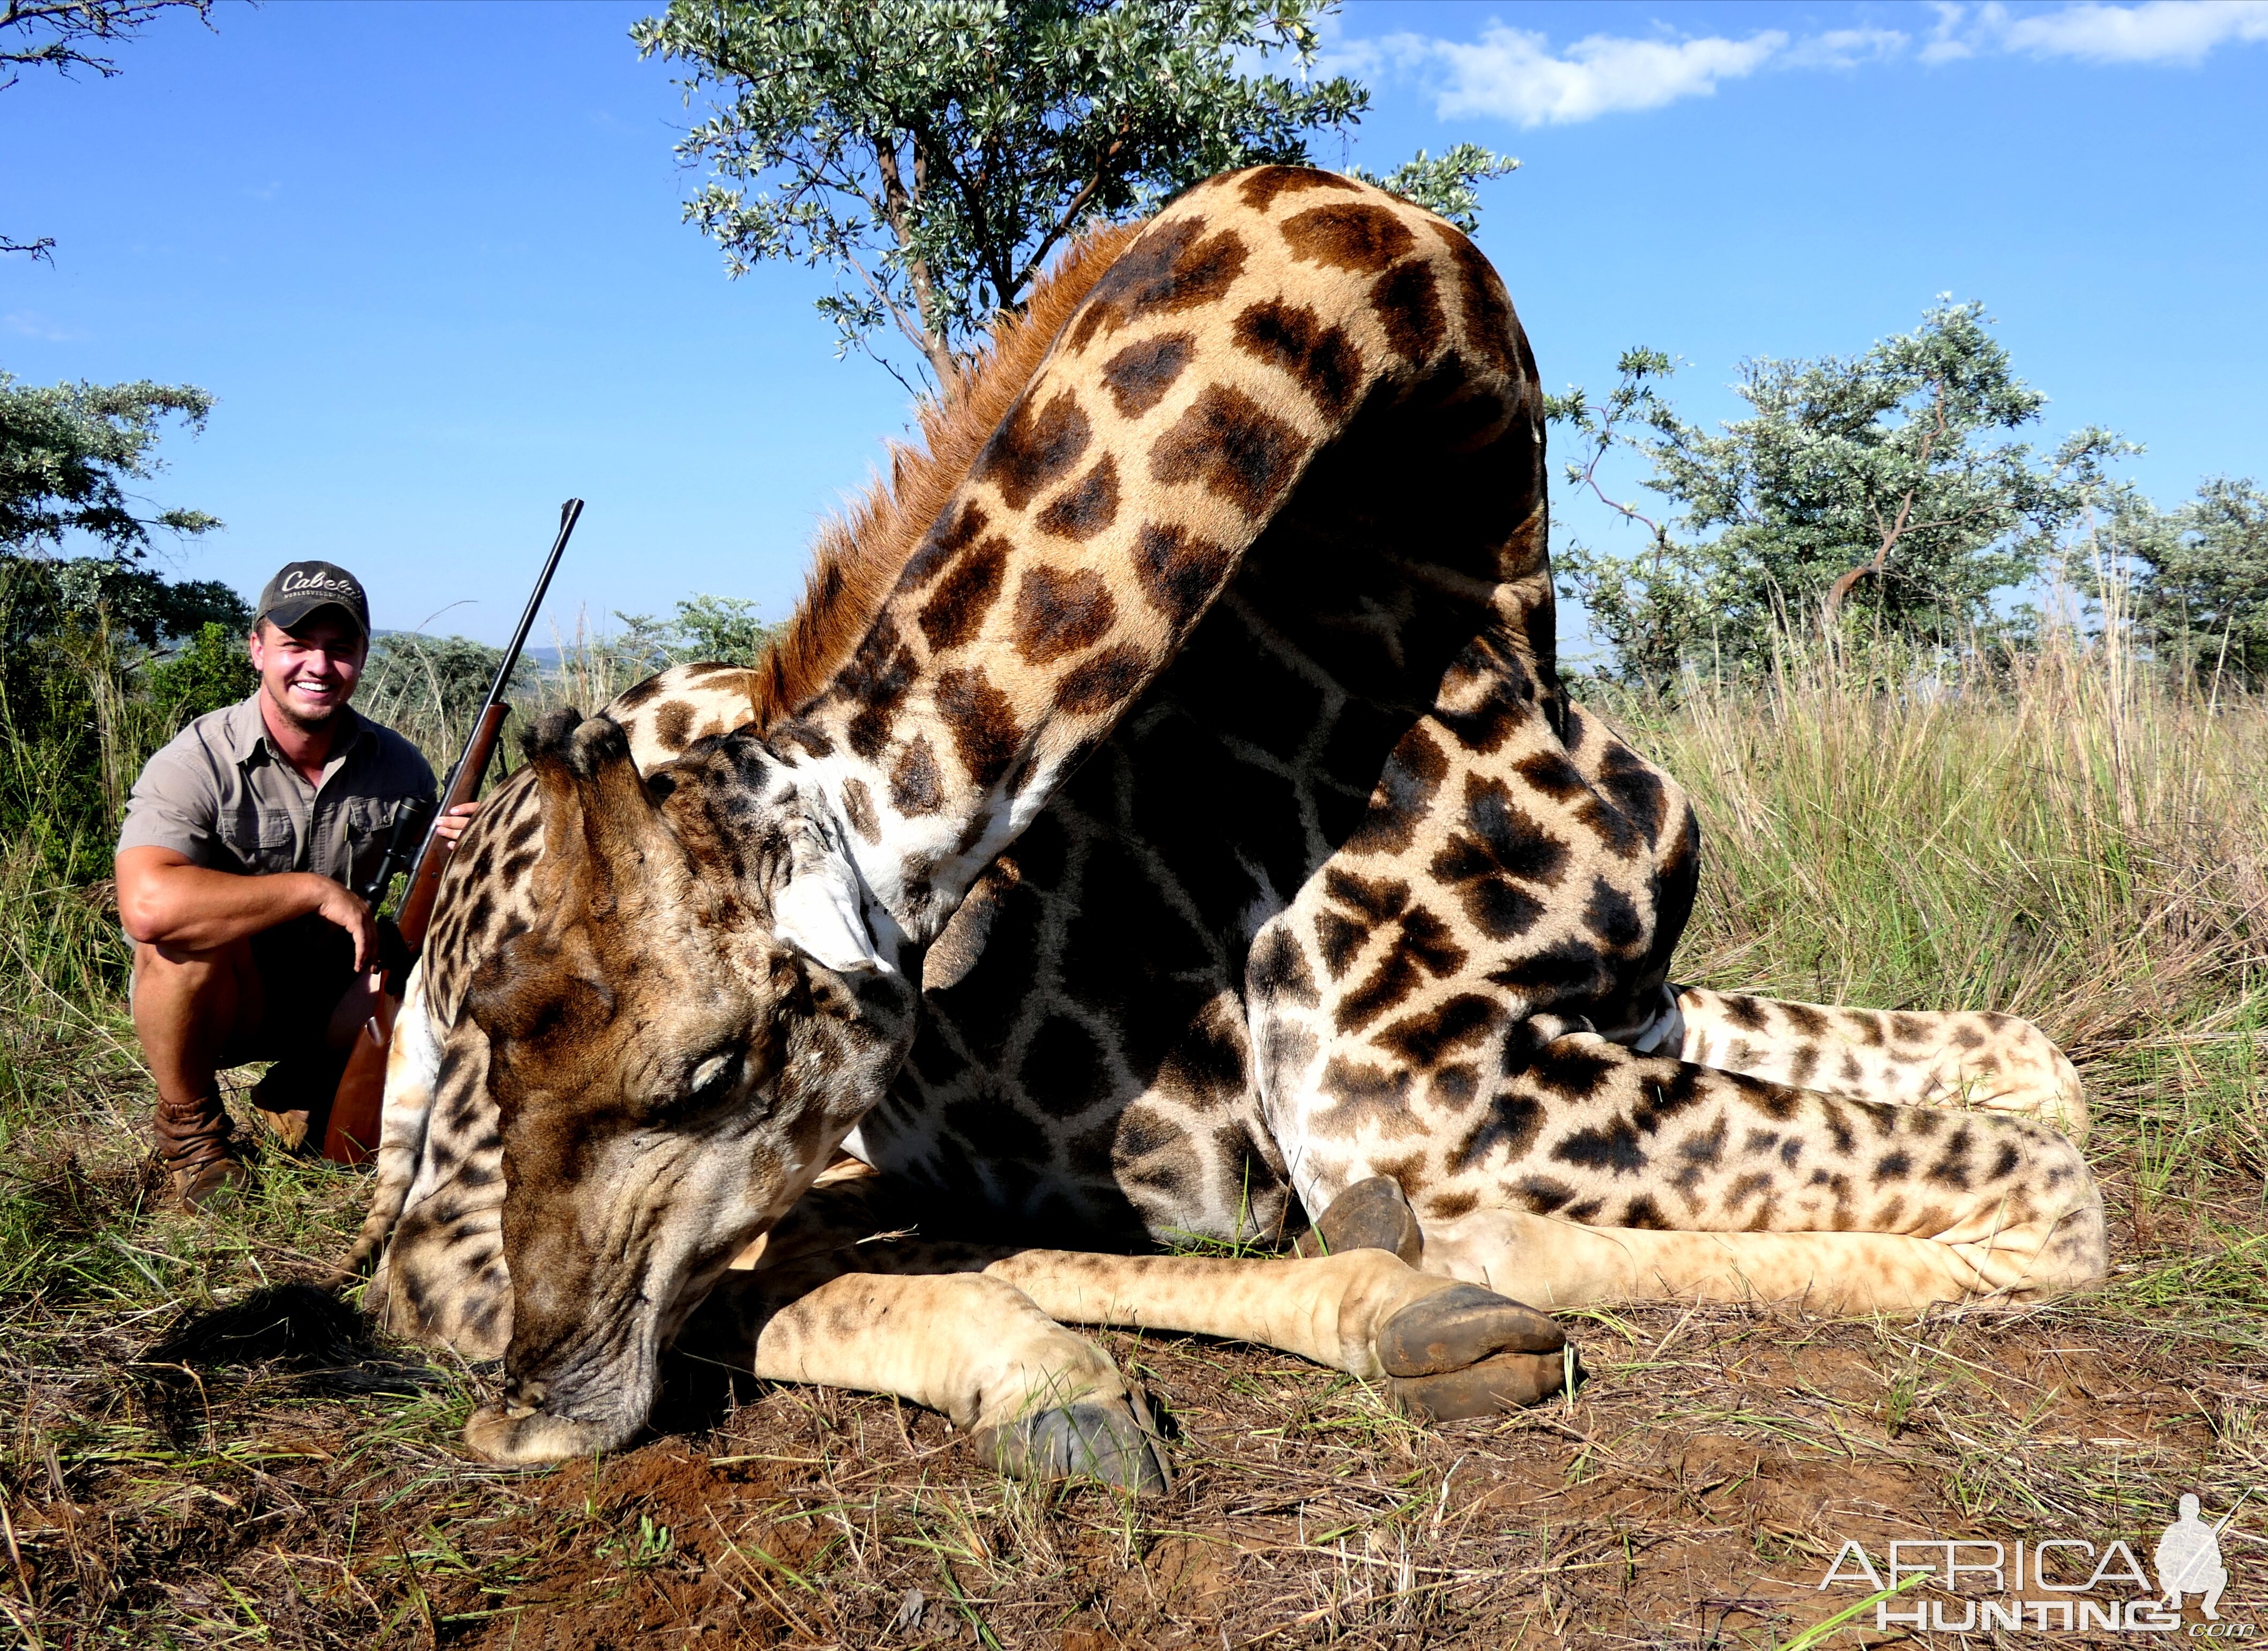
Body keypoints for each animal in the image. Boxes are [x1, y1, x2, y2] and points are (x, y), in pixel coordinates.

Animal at [354, 171, 2105, 1488]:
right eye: (529, 1039)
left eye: (708, 1069)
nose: (531, 1412)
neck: (1471, 599)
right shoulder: (1417, 1089)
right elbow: (2055, 1196)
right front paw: (1480, 1252)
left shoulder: (1621, 1007)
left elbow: (2041, 1082)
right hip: (471, 1221)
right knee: (568, 1277)